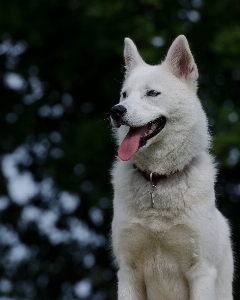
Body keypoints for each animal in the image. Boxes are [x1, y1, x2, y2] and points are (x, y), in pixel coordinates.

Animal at [111, 35, 234, 300]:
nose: (116, 111)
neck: (157, 180)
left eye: (152, 93)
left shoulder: (201, 271)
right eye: (124, 95)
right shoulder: (128, 273)